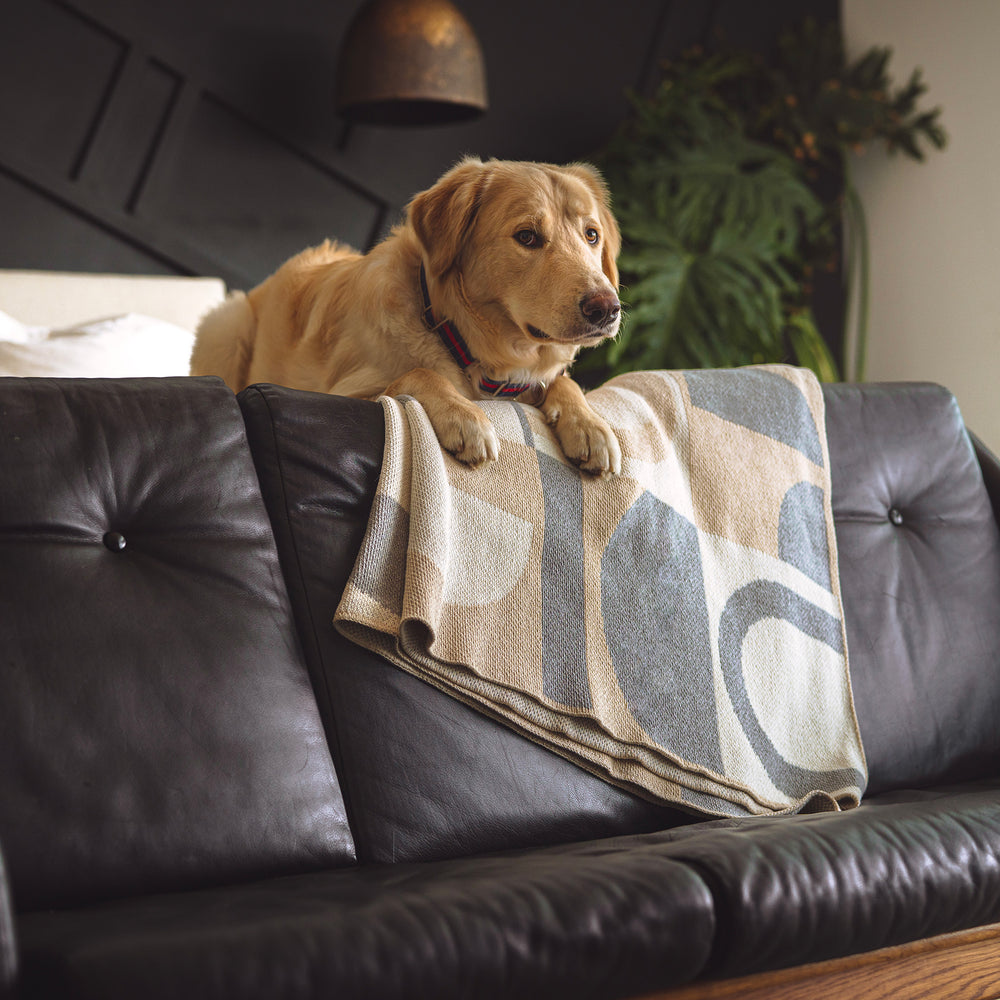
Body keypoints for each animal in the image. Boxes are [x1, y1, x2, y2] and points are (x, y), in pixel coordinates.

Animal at [191, 154, 620, 474]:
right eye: (527, 236)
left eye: (592, 235)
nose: (607, 308)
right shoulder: (340, 393)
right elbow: (418, 373)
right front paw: (465, 417)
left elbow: (565, 383)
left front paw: (591, 426)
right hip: (226, 324)